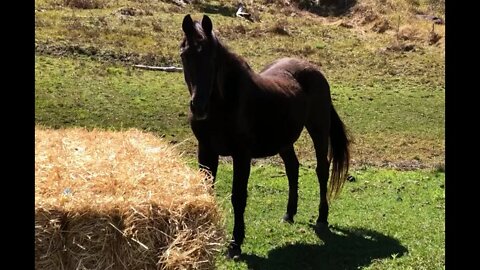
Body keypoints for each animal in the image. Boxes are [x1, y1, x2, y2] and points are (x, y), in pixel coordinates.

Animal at [180, 14, 348, 260]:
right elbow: (206, 191)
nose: (199, 107)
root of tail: (313, 70)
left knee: (321, 170)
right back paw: (289, 214)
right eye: (184, 55)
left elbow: (238, 196)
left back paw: (321, 218)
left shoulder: (241, 155)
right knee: (292, 168)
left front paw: (235, 244)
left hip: (318, 129)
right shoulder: (206, 150)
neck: (224, 104)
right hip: (284, 141)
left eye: (211, 58)